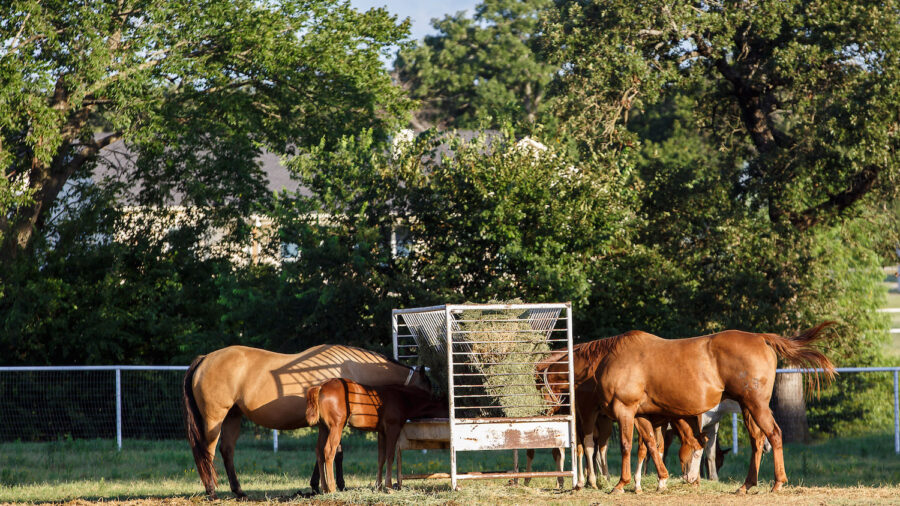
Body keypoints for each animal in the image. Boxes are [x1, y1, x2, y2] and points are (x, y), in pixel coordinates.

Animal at [182, 344, 432, 499]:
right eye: (427, 387)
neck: (350, 370)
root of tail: (205, 359)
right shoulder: (336, 424)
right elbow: (336, 453)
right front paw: (337, 485)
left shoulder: (326, 425)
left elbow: (323, 453)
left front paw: (318, 485)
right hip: (214, 419)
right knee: (207, 453)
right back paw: (212, 492)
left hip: (233, 417)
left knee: (227, 451)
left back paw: (239, 491)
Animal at [305, 378, 449, 493]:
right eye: (447, 405)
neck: (402, 398)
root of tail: (321, 387)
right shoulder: (392, 429)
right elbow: (390, 456)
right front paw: (389, 486)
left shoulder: (381, 432)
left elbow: (381, 458)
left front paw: (378, 486)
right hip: (336, 426)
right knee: (329, 451)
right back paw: (332, 488)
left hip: (324, 428)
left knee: (319, 452)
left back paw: (324, 488)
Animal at [574, 322, 836, 494]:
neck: (609, 358)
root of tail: (761, 338)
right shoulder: (643, 415)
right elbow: (651, 445)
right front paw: (660, 479)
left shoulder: (625, 410)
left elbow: (628, 446)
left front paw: (621, 484)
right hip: (748, 408)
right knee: (757, 441)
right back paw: (746, 485)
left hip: (756, 405)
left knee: (774, 435)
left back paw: (777, 482)